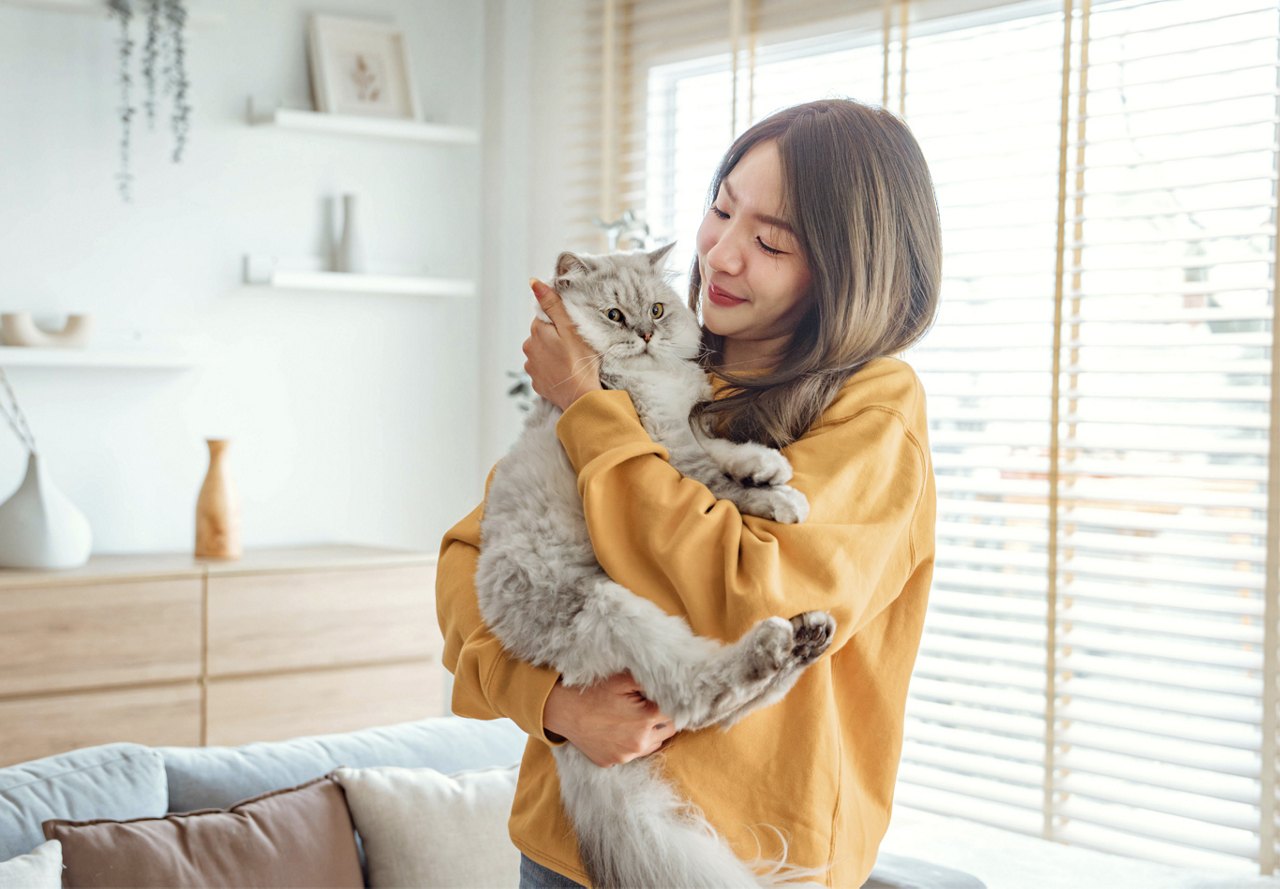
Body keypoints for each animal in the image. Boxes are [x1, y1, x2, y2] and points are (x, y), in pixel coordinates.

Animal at [478, 246, 829, 889]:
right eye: (615, 315)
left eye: (659, 311)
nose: (644, 334)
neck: (652, 379)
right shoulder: (665, 445)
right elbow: (719, 488)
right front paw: (782, 498)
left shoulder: (680, 424)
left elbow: (719, 447)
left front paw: (767, 465)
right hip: (610, 607)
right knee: (698, 697)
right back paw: (777, 645)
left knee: (719, 709)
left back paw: (806, 637)